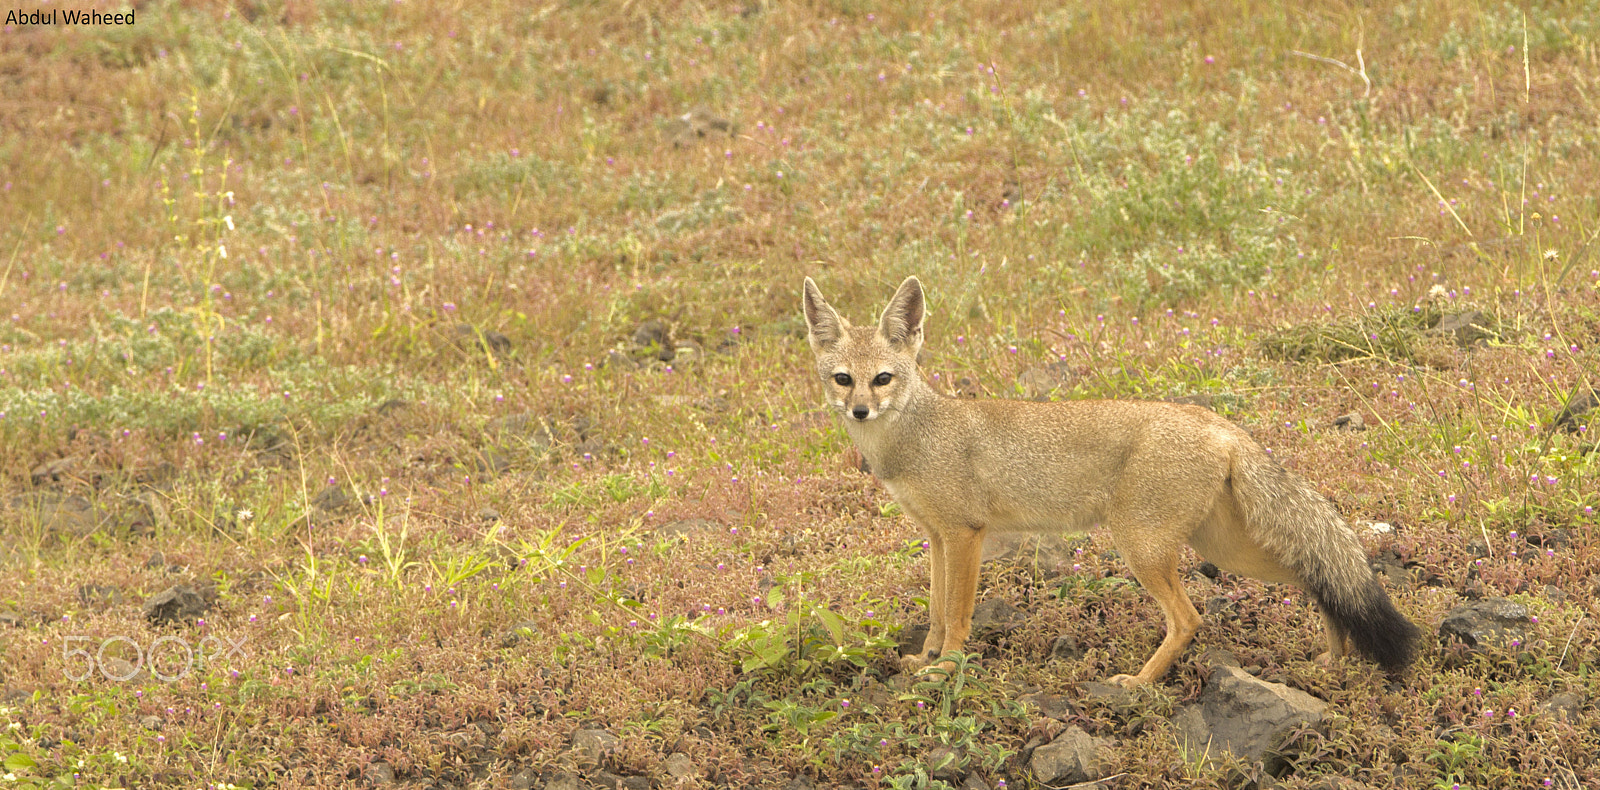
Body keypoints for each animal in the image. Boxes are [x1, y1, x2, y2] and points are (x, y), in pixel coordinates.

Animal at [801, 275, 1420, 687]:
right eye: (844, 379)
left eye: (883, 378)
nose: (860, 411)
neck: (912, 438)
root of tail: (1218, 423)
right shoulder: (936, 537)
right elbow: (933, 611)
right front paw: (924, 660)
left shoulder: (964, 535)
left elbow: (955, 615)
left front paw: (946, 668)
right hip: (1225, 549)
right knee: (1315, 577)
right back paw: (1334, 659)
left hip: (1142, 549)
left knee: (1190, 618)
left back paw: (1141, 683)